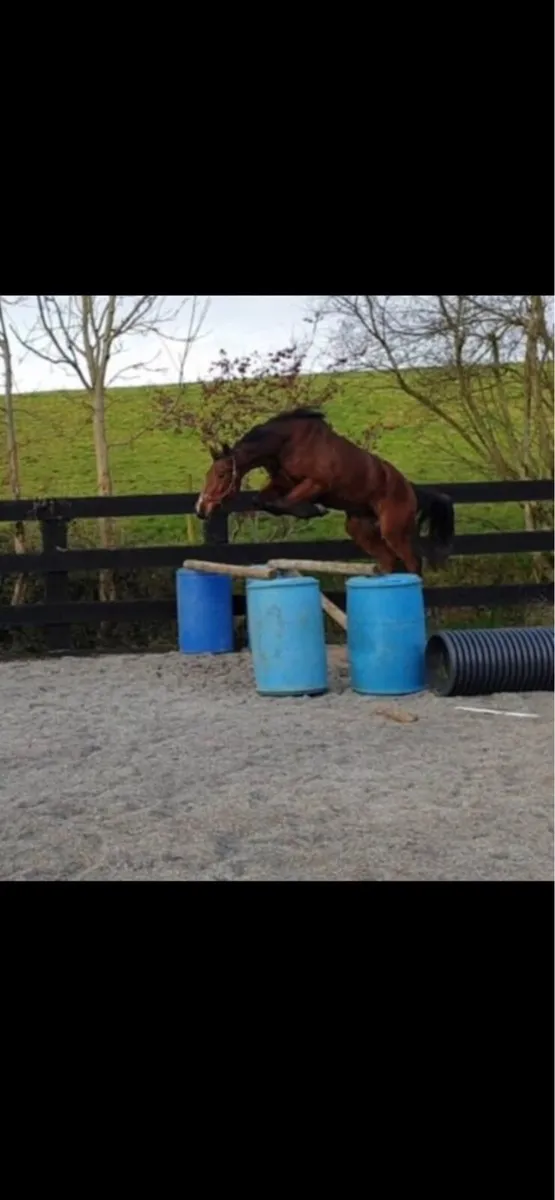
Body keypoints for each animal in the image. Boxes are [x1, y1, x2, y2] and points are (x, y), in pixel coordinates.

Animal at [195, 406, 455, 575]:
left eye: (221, 474)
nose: (201, 509)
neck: (286, 443)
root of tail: (410, 488)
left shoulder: (317, 484)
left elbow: (282, 503)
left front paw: (314, 510)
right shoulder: (281, 483)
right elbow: (263, 501)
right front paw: (310, 510)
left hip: (394, 529)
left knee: (412, 561)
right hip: (359, 527)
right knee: (388, 560)